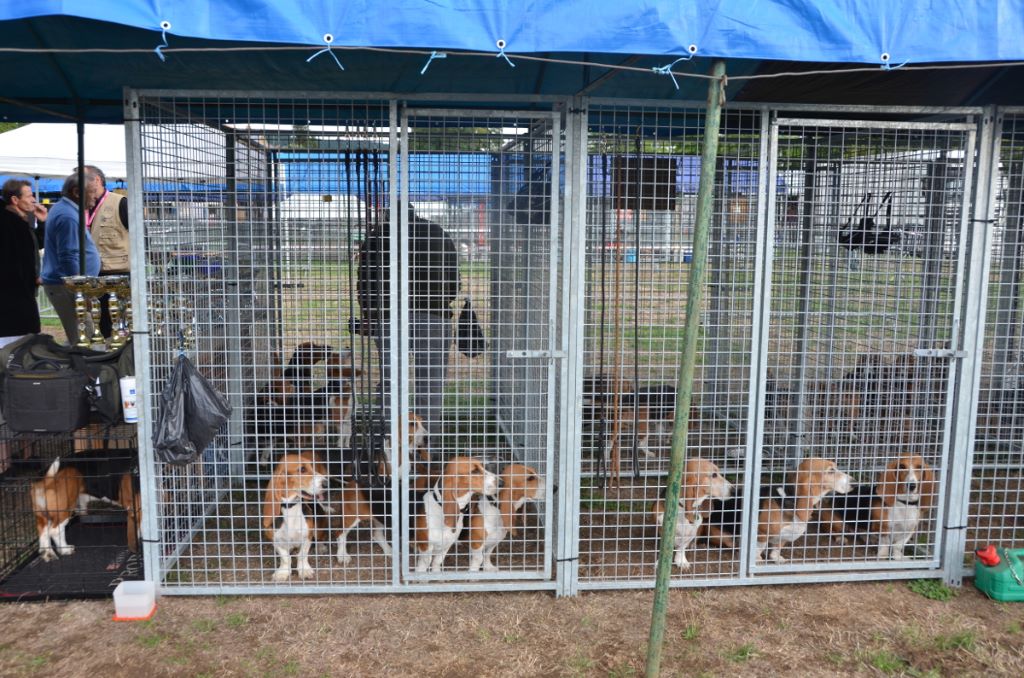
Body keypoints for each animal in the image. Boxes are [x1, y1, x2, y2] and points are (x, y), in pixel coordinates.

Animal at [704, 458, 856, 565]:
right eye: (831, 470)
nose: (854, 482)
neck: (789, 499)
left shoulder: (784, 536)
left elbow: (777, 548)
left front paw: (776, 558)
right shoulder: (761, 533)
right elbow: (760, 547)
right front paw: (757, 559)